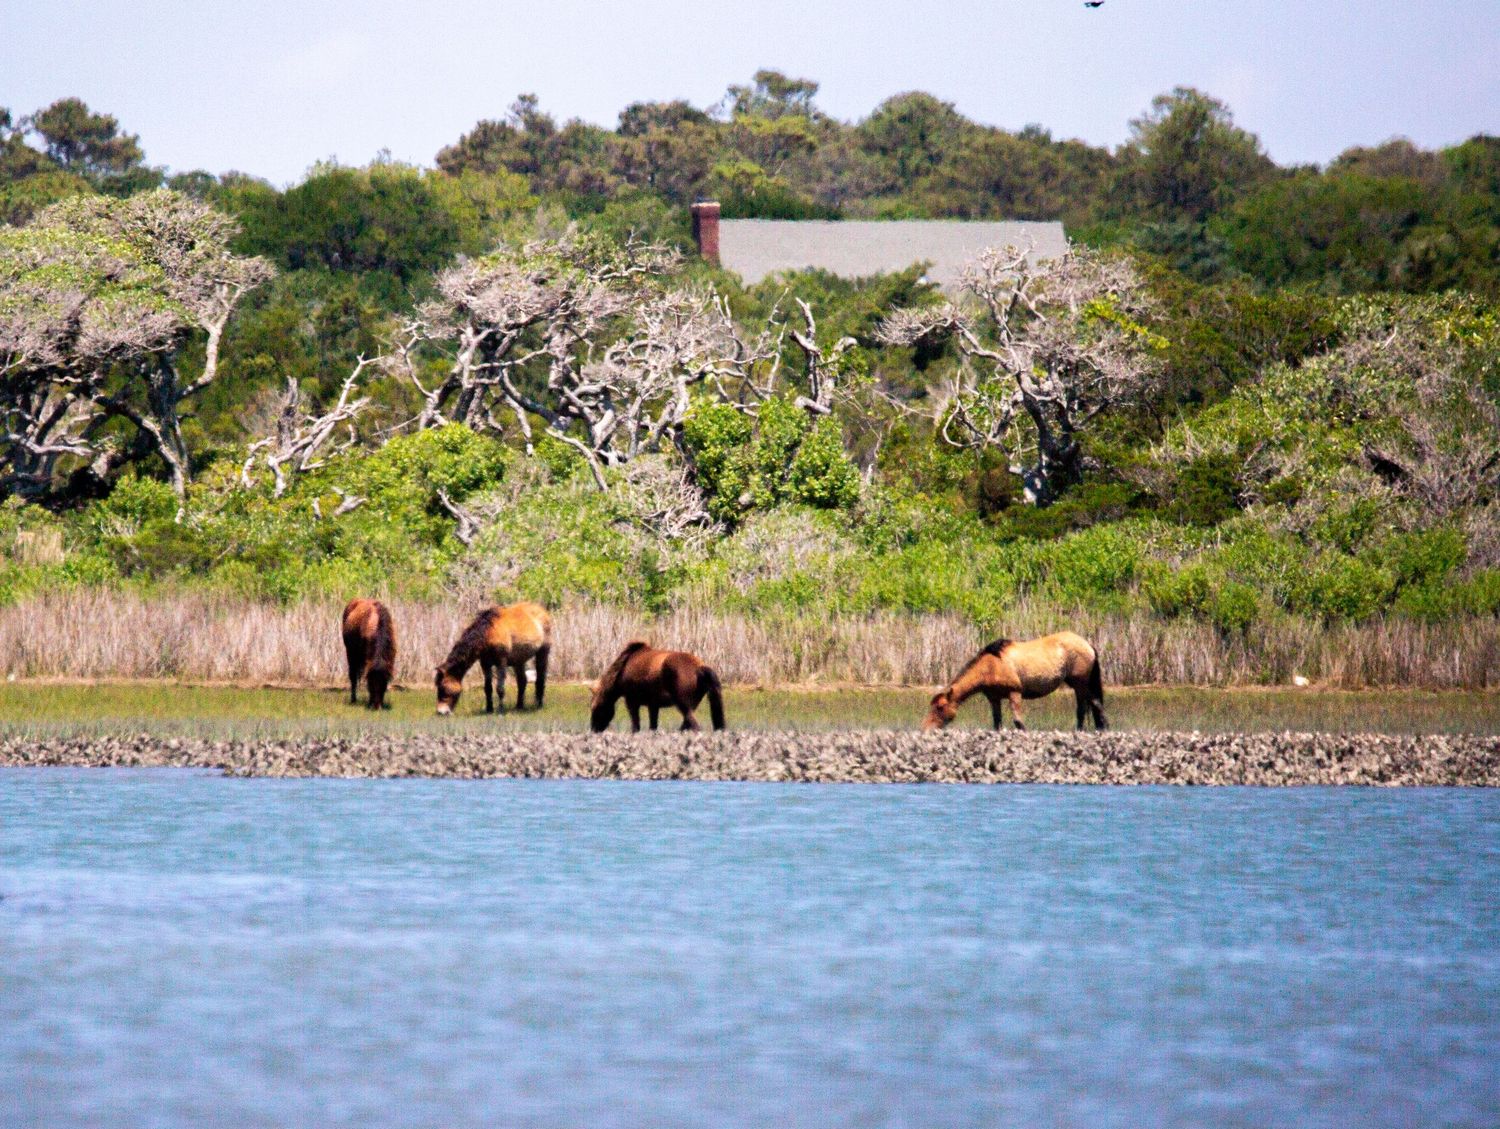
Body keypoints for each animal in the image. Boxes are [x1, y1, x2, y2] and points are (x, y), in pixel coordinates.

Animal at [590, 641, 725, 732]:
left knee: (694, 726)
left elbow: (636, 726)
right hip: (691, 705)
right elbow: (653, 726)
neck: (621, 672)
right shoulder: (653, 705)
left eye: (595, 707)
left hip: (683, 704)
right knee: (687, 725)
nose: (593, 729)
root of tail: (700, 668)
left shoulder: (631, 701)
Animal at [923, 632, 1106, 731]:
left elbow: (1018, 722)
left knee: (1087, 707)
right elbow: (997, 723)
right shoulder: (994, 698)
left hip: (1080, 684)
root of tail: (1088, 645)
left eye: (940, 707)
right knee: (1091, 706)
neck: (991, 666)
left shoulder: (1015, 693)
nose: (925, 729)